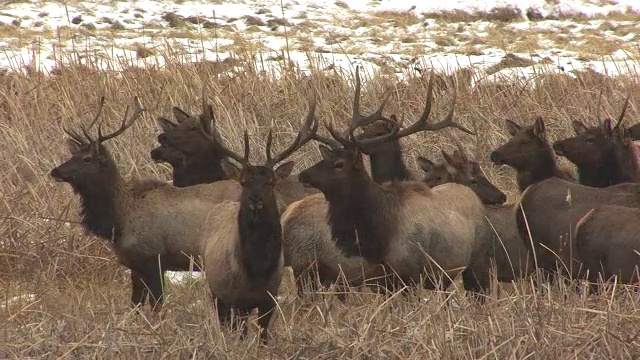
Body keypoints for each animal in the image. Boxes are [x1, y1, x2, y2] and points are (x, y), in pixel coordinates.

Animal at [50, 97, 242, 310]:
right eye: (72, 156)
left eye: (87, 158)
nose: (55, 171)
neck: (118, 221)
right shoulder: (135, 264)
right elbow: (135, 305)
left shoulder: (154, 257)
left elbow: (157, 305)